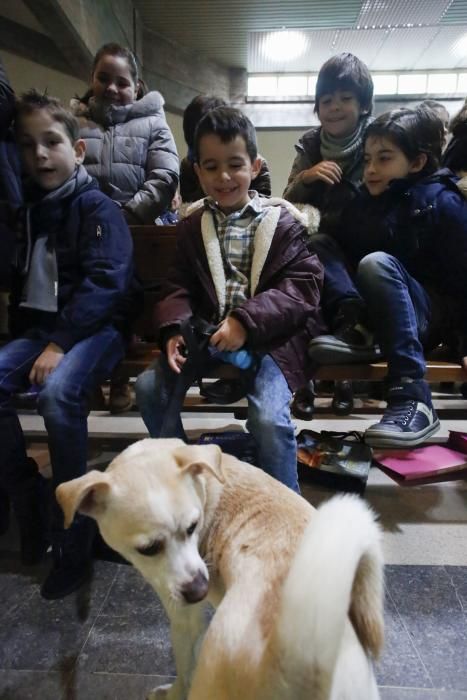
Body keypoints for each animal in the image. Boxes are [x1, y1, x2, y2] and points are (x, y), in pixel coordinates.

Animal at [56, 434, 384, 696]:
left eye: (193, 526)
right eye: (148, 549)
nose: (199, 591)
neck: (208, 485)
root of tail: (302, 658)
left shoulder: (184, 620)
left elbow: (183, 670)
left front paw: (171, 694)